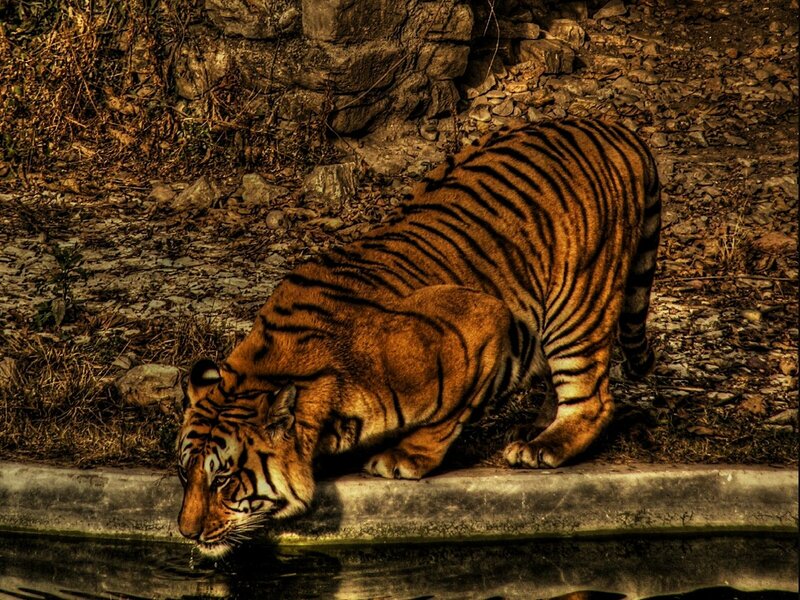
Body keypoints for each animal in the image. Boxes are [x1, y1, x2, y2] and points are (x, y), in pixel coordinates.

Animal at [176, 117, 661, 556]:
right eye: (185, 474)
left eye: (223, 478)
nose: (187, 532)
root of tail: (611, 125)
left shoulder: (481, 319)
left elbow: (447, 414)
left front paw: (402, 460)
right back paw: (535, 425)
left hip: (577, 302)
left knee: (594, 399)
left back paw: (544, 446)